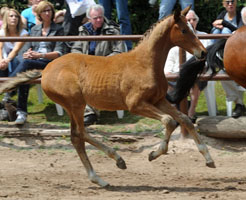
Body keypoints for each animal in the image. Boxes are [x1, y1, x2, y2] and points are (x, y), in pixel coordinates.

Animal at [0, 6, 215, 188]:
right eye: (184, 30)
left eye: (192, 27)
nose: (203, 52)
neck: (145, 63)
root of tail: (45, 70)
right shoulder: (136, 105)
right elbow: (169, 121)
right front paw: (154, 154)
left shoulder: (158, 100)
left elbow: (184, 119)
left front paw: (209, 159)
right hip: (76, 104)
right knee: (81, 133)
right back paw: (117, 160)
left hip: (72, 106)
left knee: (76, 137)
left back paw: (98, 178)